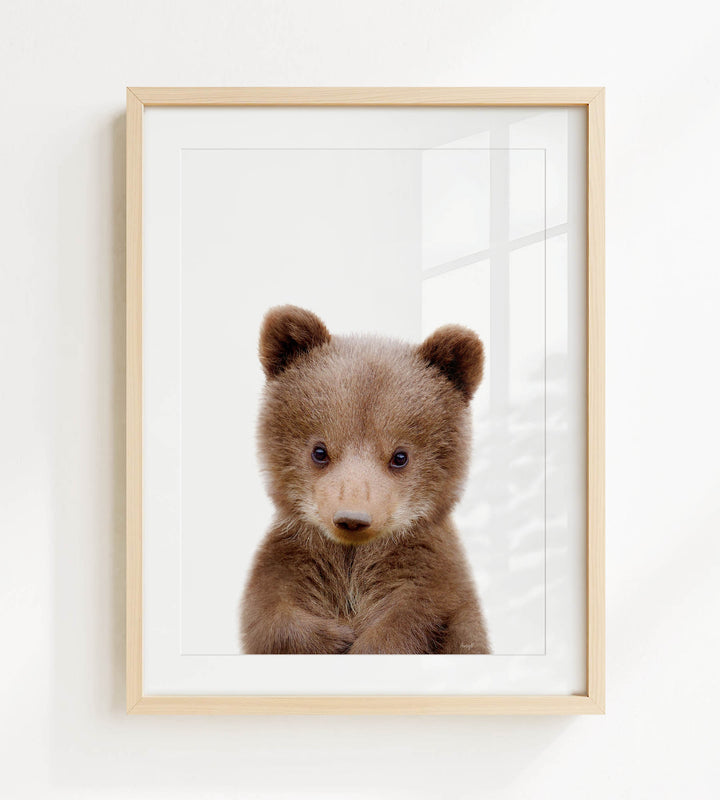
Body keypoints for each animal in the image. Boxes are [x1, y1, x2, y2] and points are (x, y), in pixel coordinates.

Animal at [240, 305, 491, 654]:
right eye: (320, 450)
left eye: (400, 456)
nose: (352, 518)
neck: (352, 557)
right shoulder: (294, 557)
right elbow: (270, 613)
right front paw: (336, 637)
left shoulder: (427, 574)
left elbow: (413, 619)